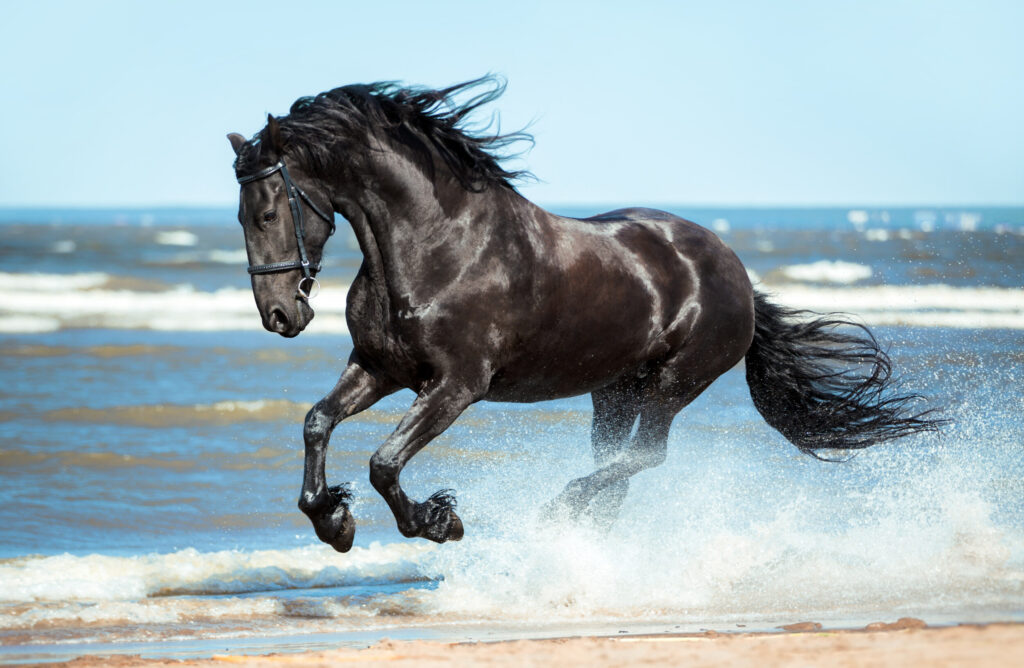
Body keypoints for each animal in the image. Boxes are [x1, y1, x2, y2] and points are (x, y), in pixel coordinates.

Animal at [227, 77, 941, 552]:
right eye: (239, 215)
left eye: (267, 211)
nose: (280, 315)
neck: (437, 245)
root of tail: (735, 270)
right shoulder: (379, 368)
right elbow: (317, 423)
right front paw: (333, 520)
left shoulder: (457, 386)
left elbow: (384, 462)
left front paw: (437, 521)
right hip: (614, 391)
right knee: (619, 466)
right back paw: (582, 535)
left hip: (674, 382)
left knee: (644, 457)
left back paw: (559, 511)